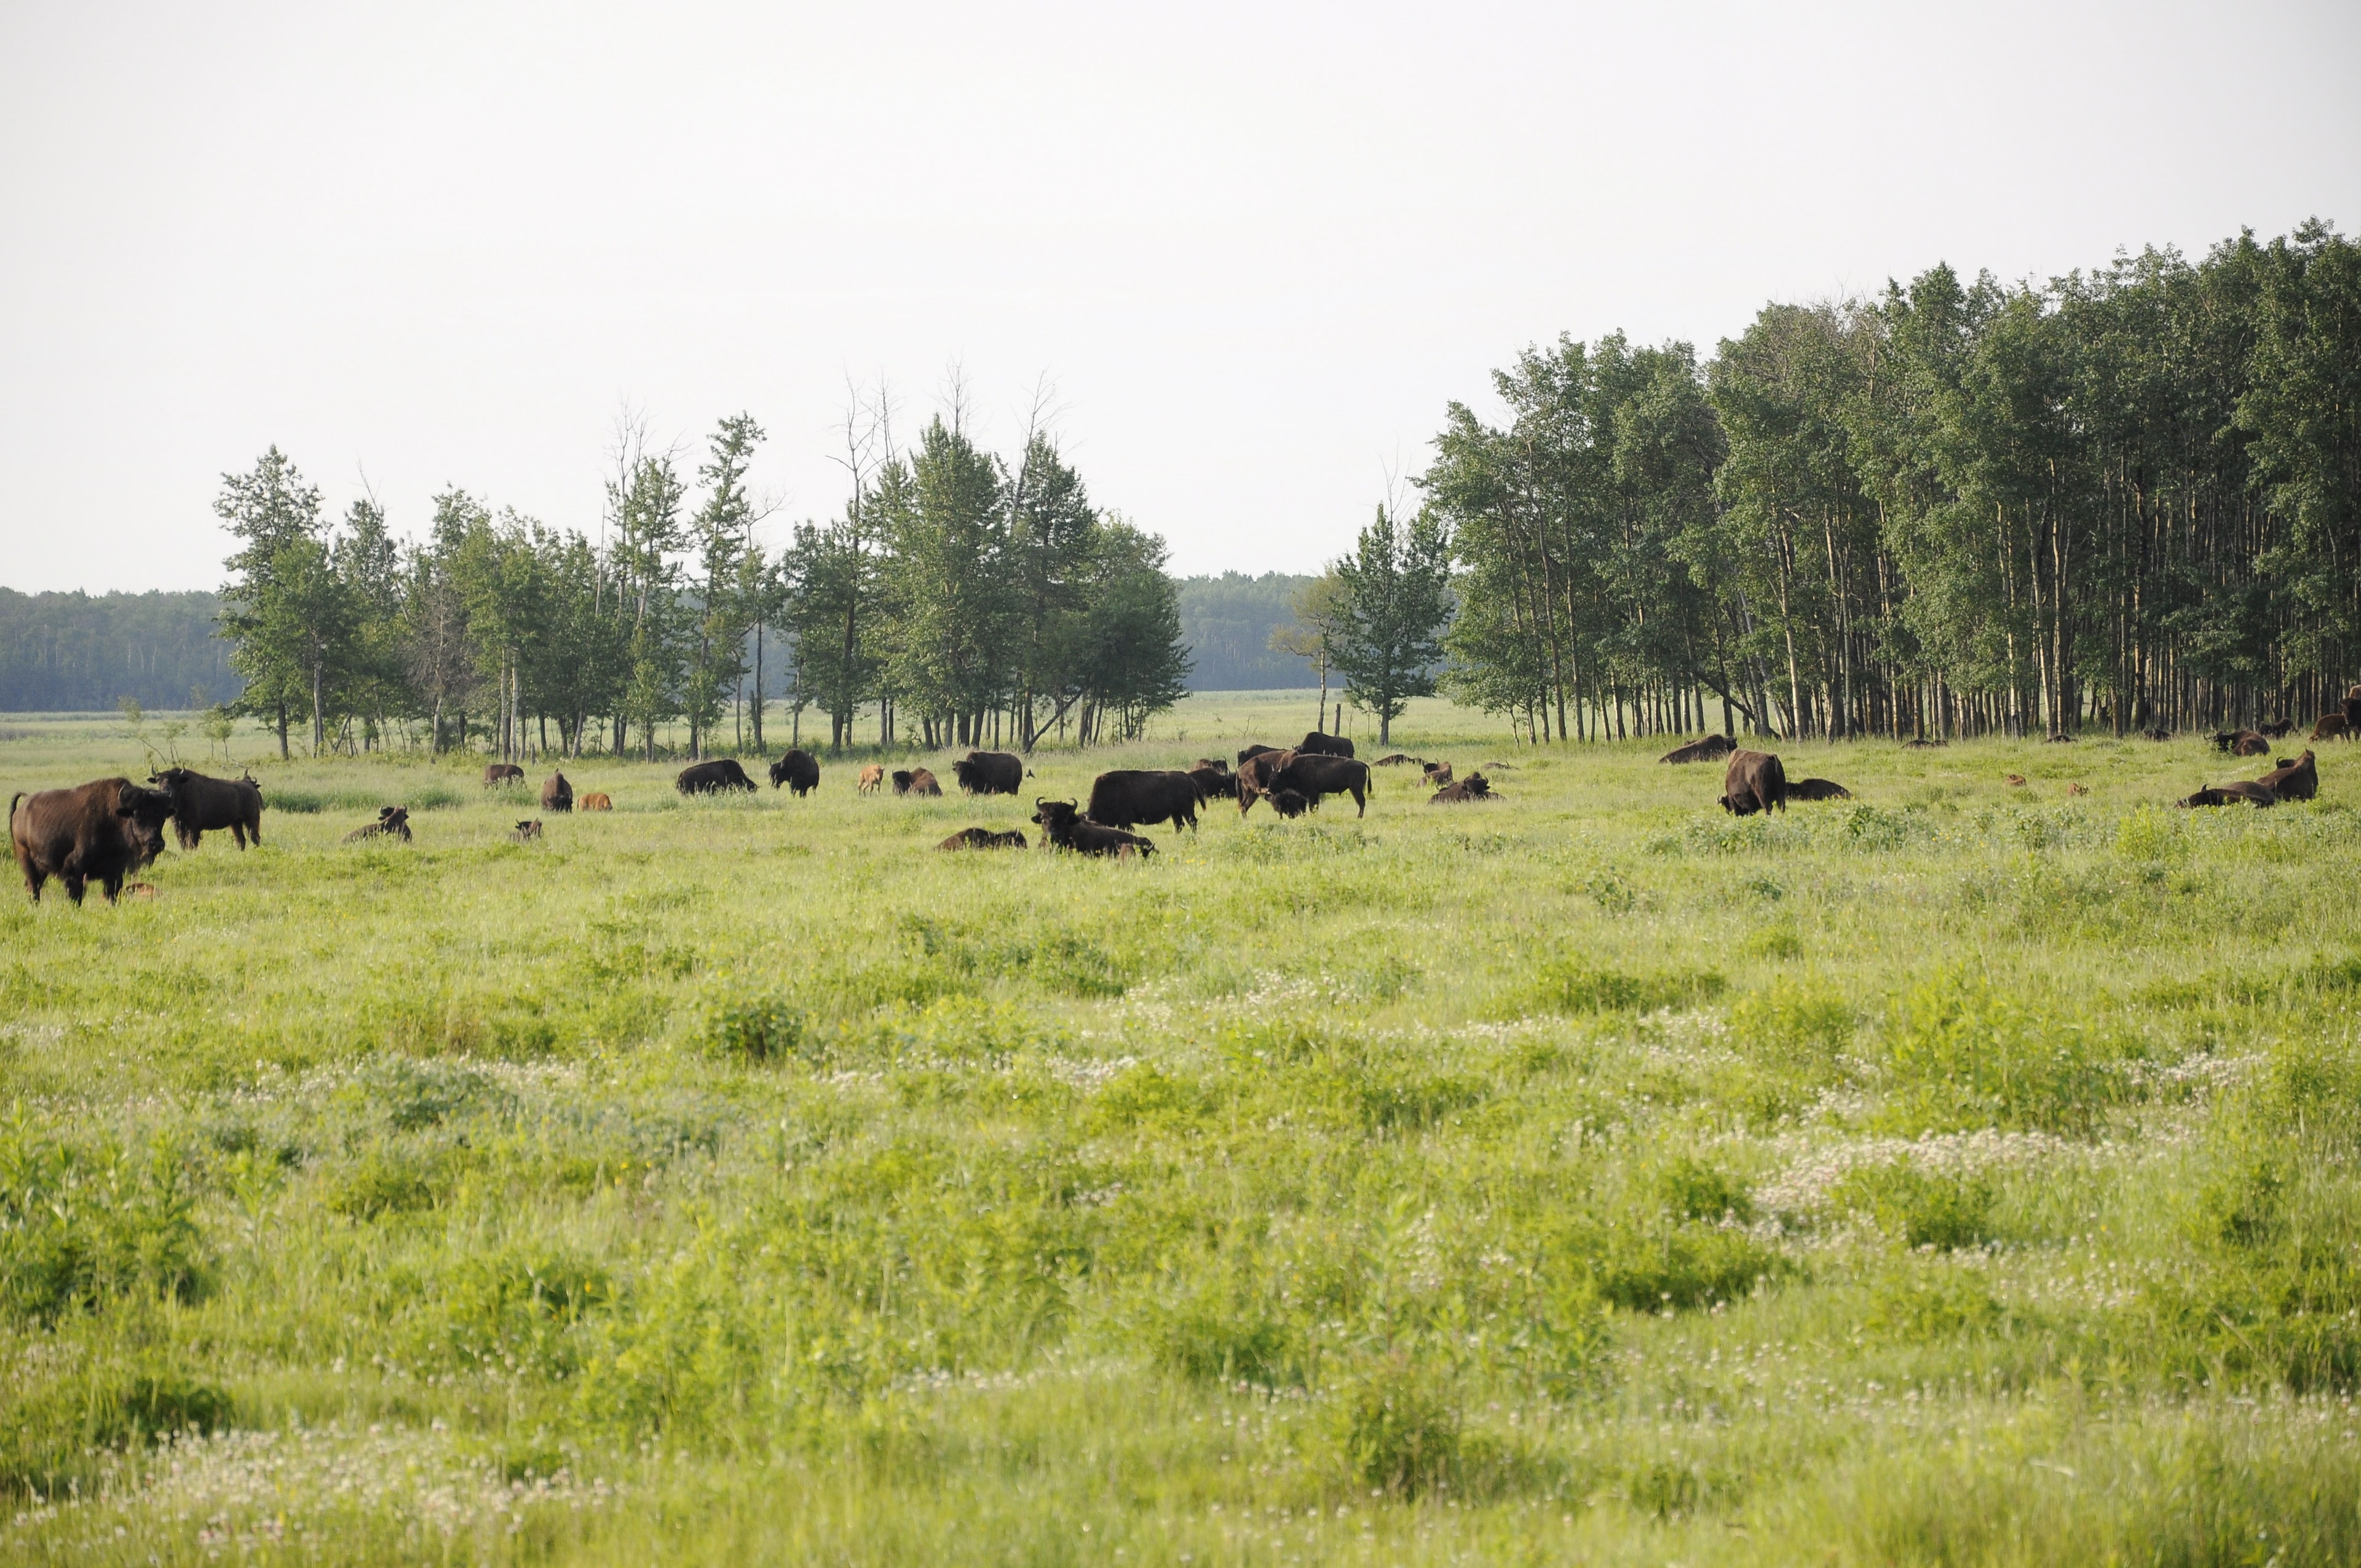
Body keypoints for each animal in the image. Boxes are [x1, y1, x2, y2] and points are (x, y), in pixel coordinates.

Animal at [10, 777, 173, 904]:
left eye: (162, 817)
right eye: (137, 815)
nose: (156, 844)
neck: (116, 818)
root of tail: (21, 811)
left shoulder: (115, 873)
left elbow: (112, 895)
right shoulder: (75, 871)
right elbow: (76, 896)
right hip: (27, 859)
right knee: (33, 887)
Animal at [147, 766, 264, 851]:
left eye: (175, 780)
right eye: (158, 781)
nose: (166, 792)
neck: (183, 789)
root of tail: (251, 787)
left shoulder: (193, 827)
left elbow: (192, 843)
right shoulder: (178, 826)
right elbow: (183, 843)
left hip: (251, 820)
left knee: (255, 837)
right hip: (236, 823)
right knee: (241, 840)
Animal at [1087, 770, 1201, 833]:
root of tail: (1189, 779)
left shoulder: (1125, 822)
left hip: (1187, 810)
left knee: (1192, 822)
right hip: (1176, 813)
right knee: (1179, 825)